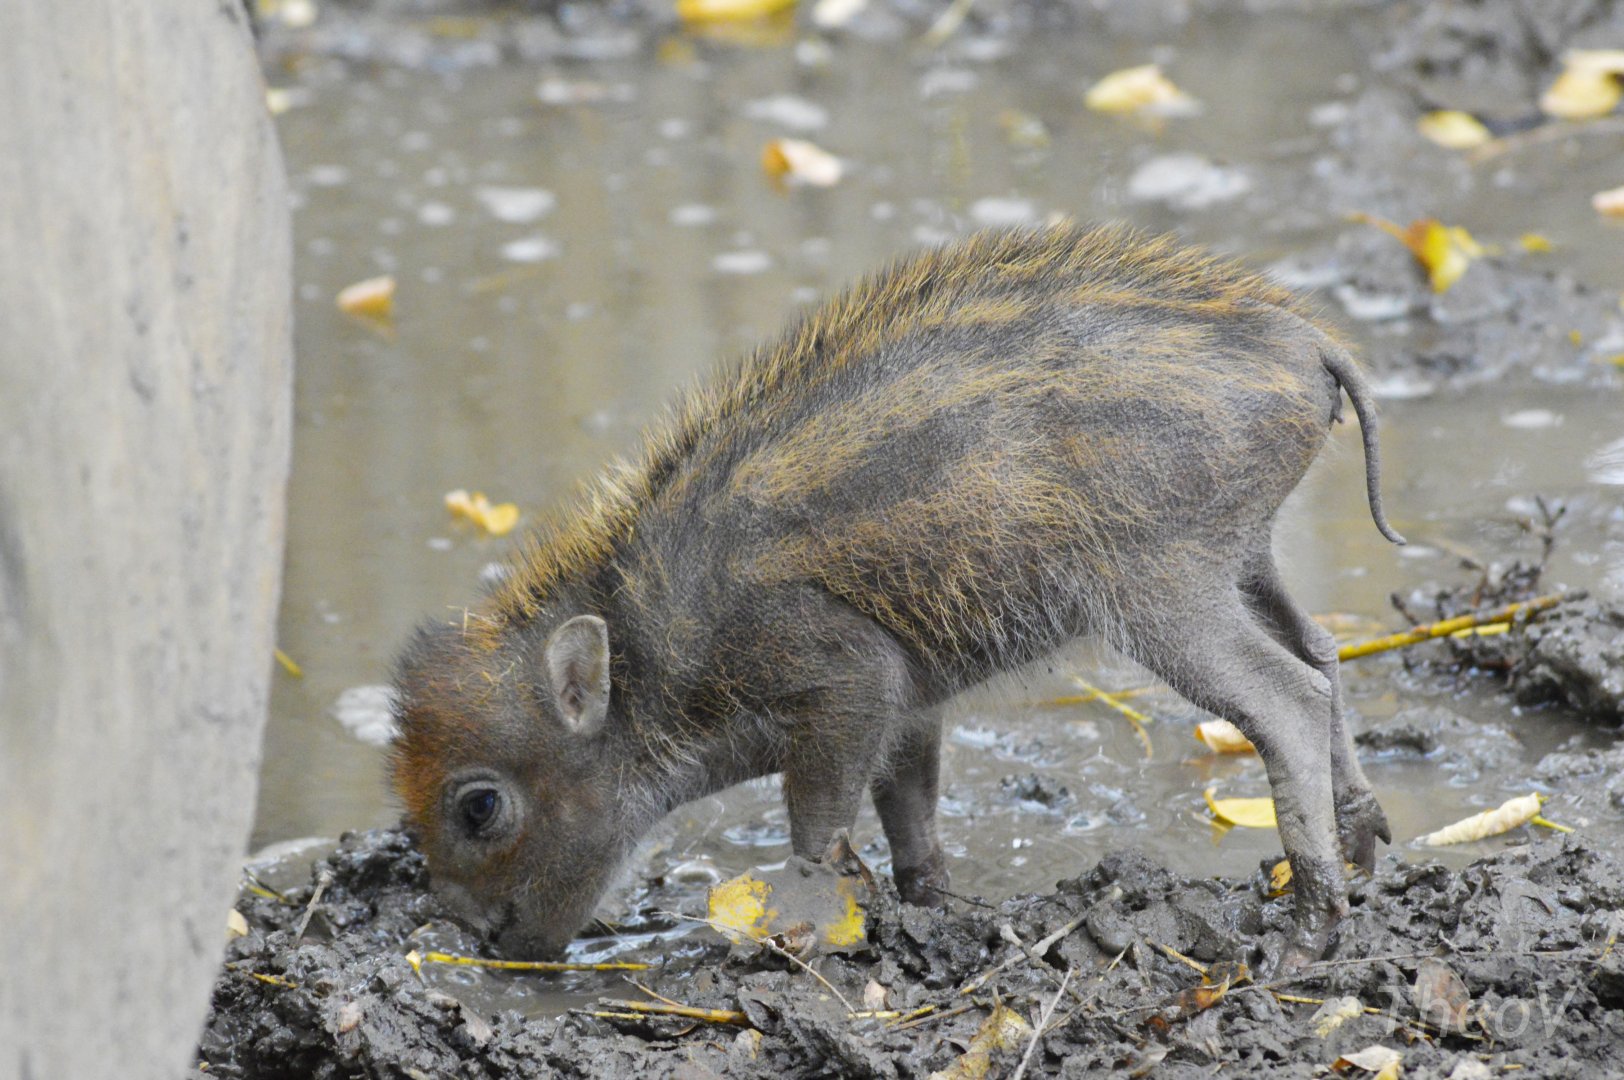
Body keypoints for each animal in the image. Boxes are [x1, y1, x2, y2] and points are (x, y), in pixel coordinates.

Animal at [391, 224, 1403, 971]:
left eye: (479, 807)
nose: (465, 939)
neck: (656, 648)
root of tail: (1306, 342)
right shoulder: (911, 703)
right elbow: (910, 820)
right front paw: (929, 915)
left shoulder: (848, 676)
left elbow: (816, 826)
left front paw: (803, 931)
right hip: (1243, 555)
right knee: (1321, 651)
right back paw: (1361, 854)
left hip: (1160, 583)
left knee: (1286, 697)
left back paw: (1310, 930)